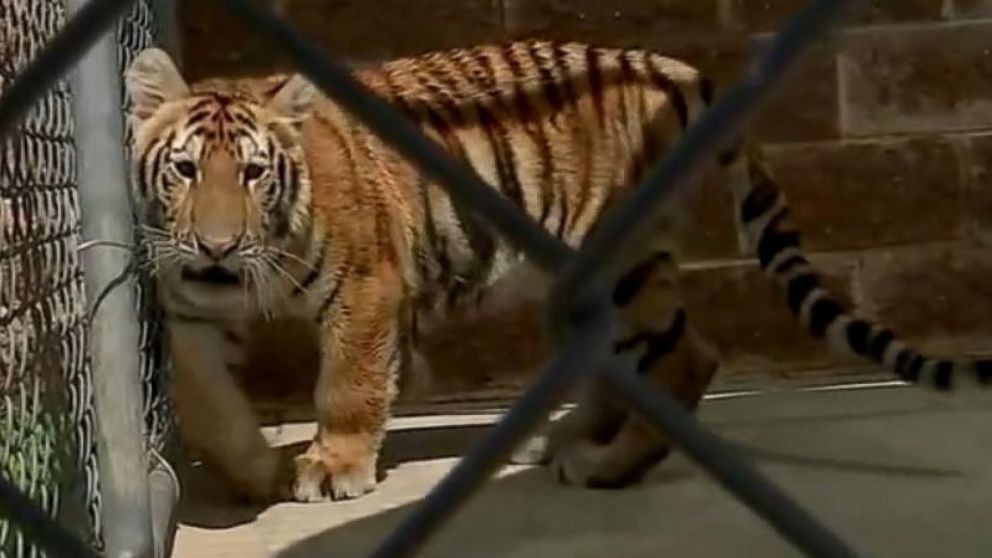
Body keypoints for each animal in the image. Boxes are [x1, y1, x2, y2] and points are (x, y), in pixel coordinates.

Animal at [122, 37, 992, 506]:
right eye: (186, 170)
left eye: (254, 173)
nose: (217, 247)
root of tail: (672, 67)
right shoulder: (192, 308)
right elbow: (208, 406)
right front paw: (263, 473)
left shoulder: (366, 292)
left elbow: (348, 386)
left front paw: (333, 470)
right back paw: (573, 436)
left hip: (620, 259)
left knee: (687, 357)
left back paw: (604, 466)